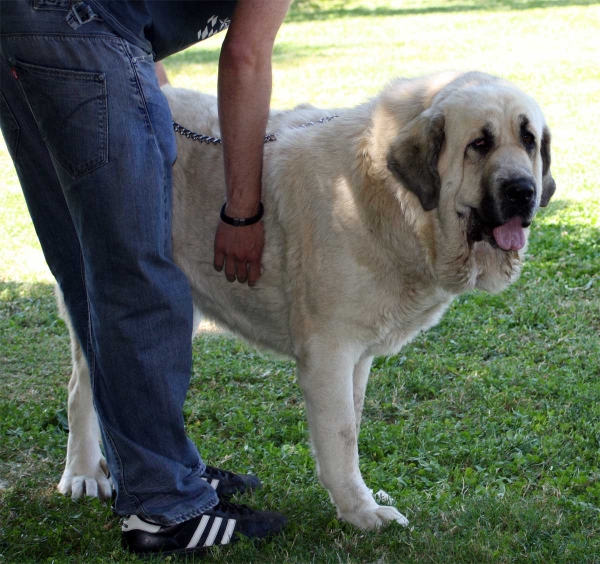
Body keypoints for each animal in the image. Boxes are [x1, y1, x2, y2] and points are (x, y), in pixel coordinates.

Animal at [56, 70, 552, 528]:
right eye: (479, 144)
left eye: (529, 140)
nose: (524, 191)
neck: (391, 199)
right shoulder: (329, 352)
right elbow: (341, 434)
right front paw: (361, 512)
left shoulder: (358, 355)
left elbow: (351, 421)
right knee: (83, 387)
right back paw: (83, 473)